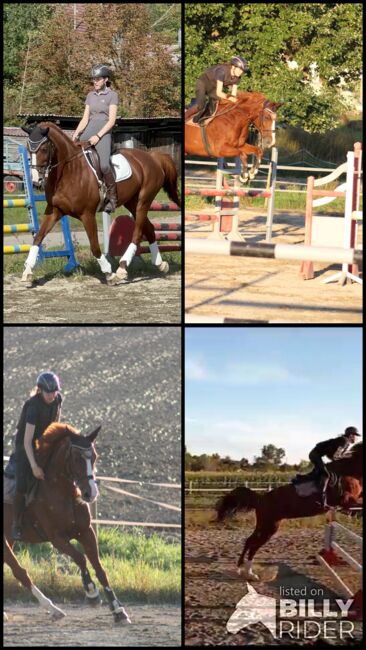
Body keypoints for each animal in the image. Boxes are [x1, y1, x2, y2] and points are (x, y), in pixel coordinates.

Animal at [3, 420, 131, 624]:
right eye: (77, 459)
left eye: (95, 456)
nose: (91, 493)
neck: (63, 492)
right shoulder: (57, 538)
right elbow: (80, 558)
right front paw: (91, 593)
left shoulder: (86, 532)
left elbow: (99, 568)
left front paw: (118, 611)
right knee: (20, 572)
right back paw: (53, 609)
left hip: (8, 539)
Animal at [21, 121, 182, 284]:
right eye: (28, 149)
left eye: (44, 149)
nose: (36, 181)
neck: (68, 171)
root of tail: (153, 157)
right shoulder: (54, 211)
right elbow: (37, 238)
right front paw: (27, 271)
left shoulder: (87, 214)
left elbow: (94, 247)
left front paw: (108, 272)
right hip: (132, 203)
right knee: (149, 228)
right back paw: (160, 264)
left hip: (143, 201)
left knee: (138, 233)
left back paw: (122, 268)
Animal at [216, 440, 362, 576]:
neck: (347, 471)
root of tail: (260, 499)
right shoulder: (347, 501)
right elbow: (357, 506)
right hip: (269, 527)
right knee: (253, 546)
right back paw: (250, 573)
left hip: (264, 525)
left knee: (249, 541)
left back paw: (241, 568)